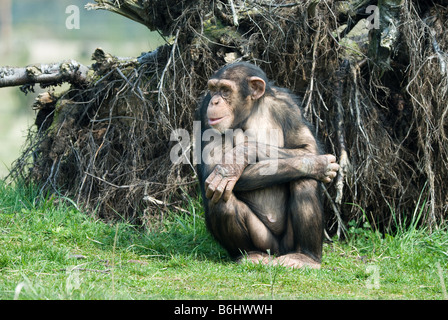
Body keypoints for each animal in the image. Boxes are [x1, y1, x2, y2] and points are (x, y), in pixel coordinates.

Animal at [194, 62, 338, 268]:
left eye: (225, 90)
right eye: (213, 90)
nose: (215, 101)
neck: (252, 111)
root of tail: (277, 252)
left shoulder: (289, 106)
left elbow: (307, 148)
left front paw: (241, 155)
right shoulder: (204, 113)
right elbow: (212, 168)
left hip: (288, 243)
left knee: (304, 180)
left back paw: (305, 257)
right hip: (265, 241)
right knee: (220, 198)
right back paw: (251, 255)